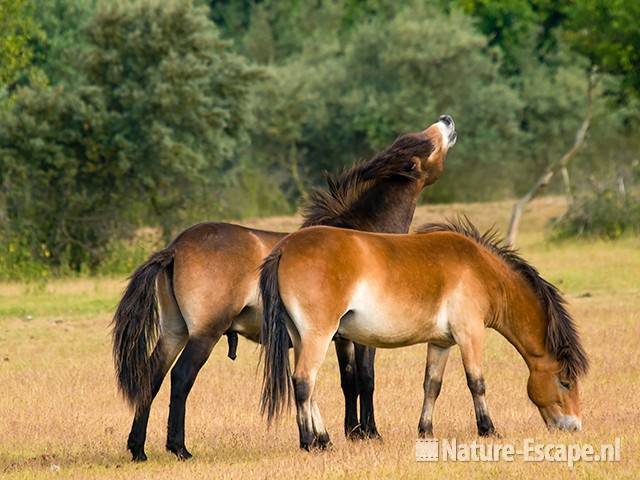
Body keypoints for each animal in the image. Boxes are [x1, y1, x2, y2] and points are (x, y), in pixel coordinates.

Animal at [112, 115, 458, 462]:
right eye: (425, 143)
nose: (446, 120)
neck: (363, 234)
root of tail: (174, 248)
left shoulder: (339, 336)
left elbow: (347, 380)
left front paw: (348, 433)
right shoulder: (362, 337)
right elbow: (366, 379)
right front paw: (368, 433)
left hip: (174, 332)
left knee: (151, 378)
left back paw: (138, 448)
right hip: (204, 334)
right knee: (181, 378)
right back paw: (179, 448)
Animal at [258, 218, 588, 450]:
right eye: (565, 381)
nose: (573, 427)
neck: (480, 269)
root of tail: (284, 249)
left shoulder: (441, 343)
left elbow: (432, 385)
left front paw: (426, 431)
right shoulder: (470, 334)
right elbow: (476, 383)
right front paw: (488, 429)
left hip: (302, 338)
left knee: (308, 387)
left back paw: (323, 439)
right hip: (318, 336)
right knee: (304, 382)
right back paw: (310, 443)